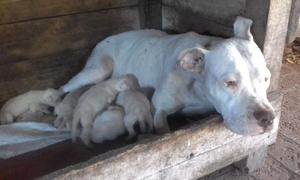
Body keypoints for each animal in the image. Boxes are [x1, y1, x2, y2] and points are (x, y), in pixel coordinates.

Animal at [62, 16, 274, 137]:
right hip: (97, 69)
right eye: (229, 83)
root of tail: (106, 38)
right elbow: (163, 129)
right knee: (63, 89)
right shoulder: (159, 110)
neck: (197, 88)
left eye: (266, 78)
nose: (268, 118)